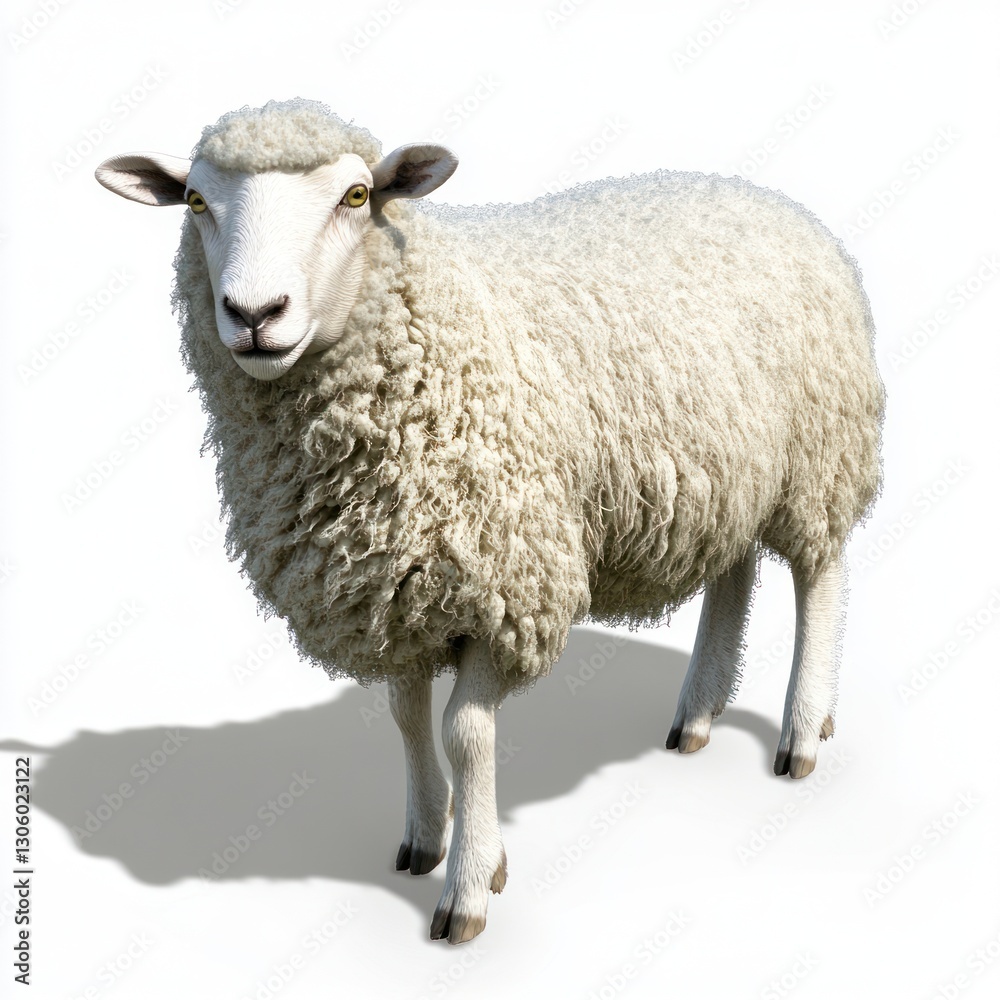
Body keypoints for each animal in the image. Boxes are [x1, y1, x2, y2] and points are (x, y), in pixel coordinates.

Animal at [95, 98, 884, 944]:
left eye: (356, 196)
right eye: (196, 202)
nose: (253, 313)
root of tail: (765, 195)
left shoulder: (501, 583)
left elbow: (465, 735)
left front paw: (471, 886)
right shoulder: (390, 582)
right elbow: (406, 718)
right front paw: (423, 839)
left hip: (818, 453)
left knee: (820, 576)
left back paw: (802, 730)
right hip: (724, 472)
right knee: (733, 572)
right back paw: (697, 715)